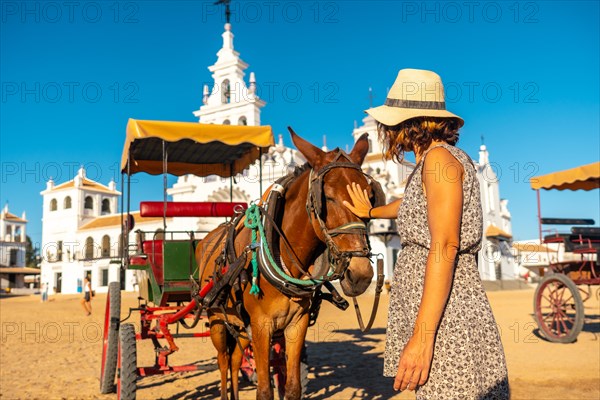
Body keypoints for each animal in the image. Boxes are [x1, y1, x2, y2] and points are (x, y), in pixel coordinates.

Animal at [196, 129, 380, 400]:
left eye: (370, 197)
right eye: (327, 197)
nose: (361, 274)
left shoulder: (296, 323)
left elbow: (293, 387)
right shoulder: (260, 327)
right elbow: (264, 391)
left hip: (239, 325)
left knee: (235, 359)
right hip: (217, 319)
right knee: (223, 360)